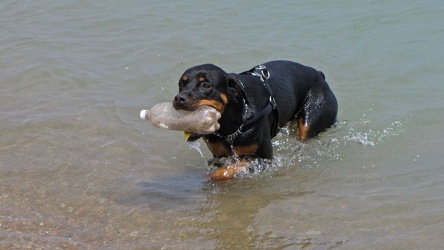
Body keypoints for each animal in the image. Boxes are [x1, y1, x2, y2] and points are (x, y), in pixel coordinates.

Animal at [173, 59, 336, 179]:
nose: (179, 98)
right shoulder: (220, 156)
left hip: (314, 116)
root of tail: (319, 74)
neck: (231, 124)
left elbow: (226, 170)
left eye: (206, 85)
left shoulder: (263, 157)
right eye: (181, 84)